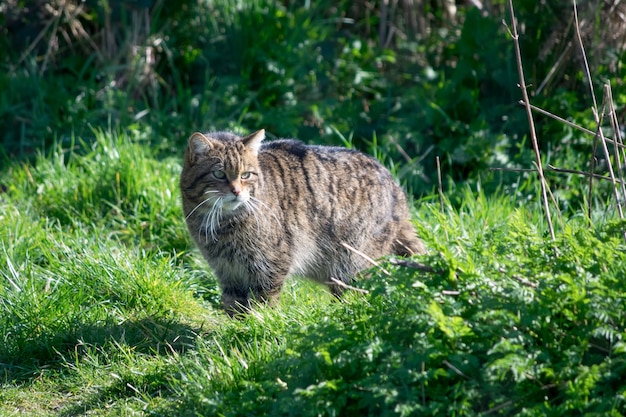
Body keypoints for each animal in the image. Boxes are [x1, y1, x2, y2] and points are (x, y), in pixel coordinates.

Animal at [179, 130, 424, 316]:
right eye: (219, 174)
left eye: (246, 175)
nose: (237, 192)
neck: (222, 223)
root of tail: (397, 189)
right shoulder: (227, 272)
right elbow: (233, 306)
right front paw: (236, 329)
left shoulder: (271, 265)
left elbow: (263, 301)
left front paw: (259, 324)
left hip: (353, 263)